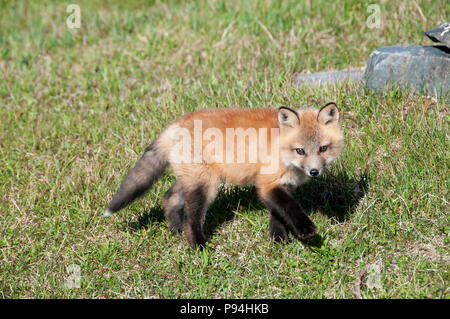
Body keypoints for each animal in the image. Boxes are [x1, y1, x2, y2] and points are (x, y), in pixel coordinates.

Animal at [104, 103, 344, 250]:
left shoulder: (282, 186)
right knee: (192, 218)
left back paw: (175, 229)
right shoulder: (267, 185)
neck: (281, 151)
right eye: (300, 150)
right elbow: (290, 208)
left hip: (192, 179)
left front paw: (278, 241)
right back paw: (198, 245)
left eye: (323, 148)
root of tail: (174, 125)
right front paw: (305, 230)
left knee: (169, 197)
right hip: (206, 186)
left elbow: (278, 214)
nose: (314, 172)